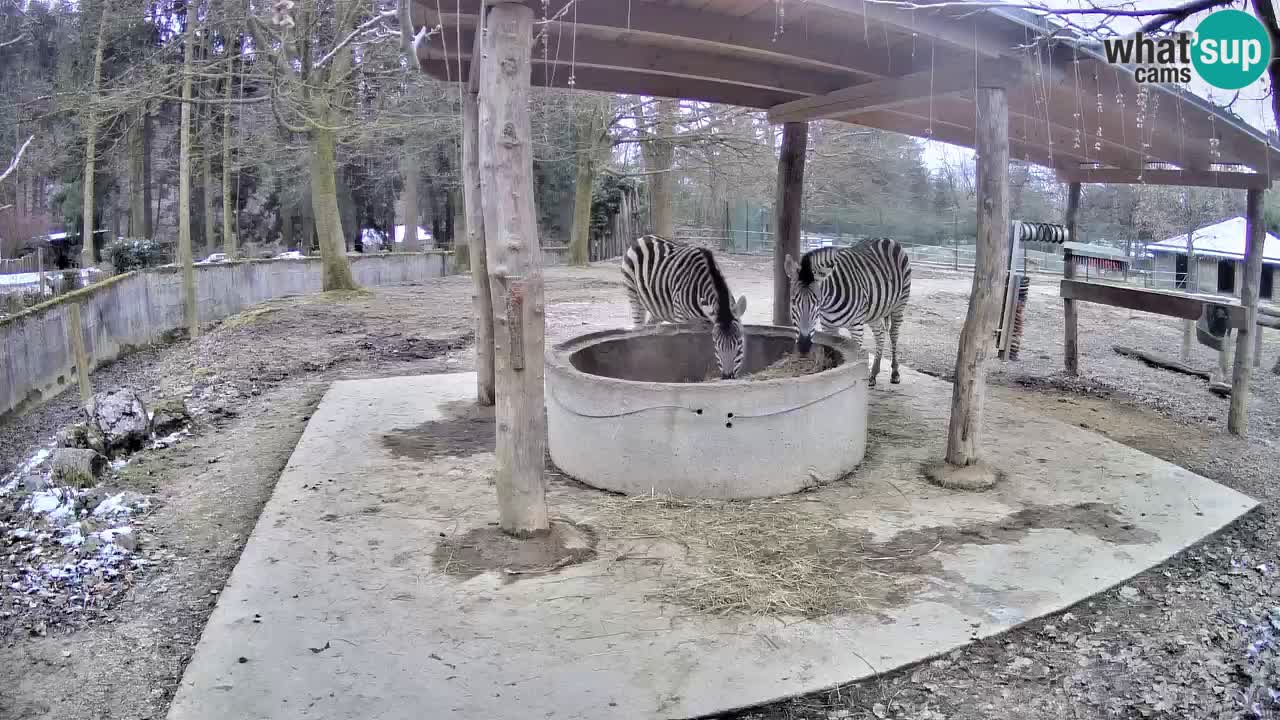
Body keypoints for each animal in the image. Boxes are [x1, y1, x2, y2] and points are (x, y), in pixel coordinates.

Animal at [622, 235, 747, 381]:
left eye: (740, 344)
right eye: (717, 346)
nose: (727, 377)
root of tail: (645, 237)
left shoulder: (709, 321)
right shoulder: (682, 318)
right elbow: (687, 345)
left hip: (658, 309)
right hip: (633, 294)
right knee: (638, 326)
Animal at [778, 237, 911, 384]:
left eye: (817, 302)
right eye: (793, 301)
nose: (803, 346)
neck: (828, 303)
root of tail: (886, 239)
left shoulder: (857, 327)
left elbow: (857, 358)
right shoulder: (828, 327)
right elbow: (829, 350)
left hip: (900, 303)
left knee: (893, 334)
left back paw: (895, 373)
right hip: (874, 312)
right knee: (880, 334)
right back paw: (873, 373)